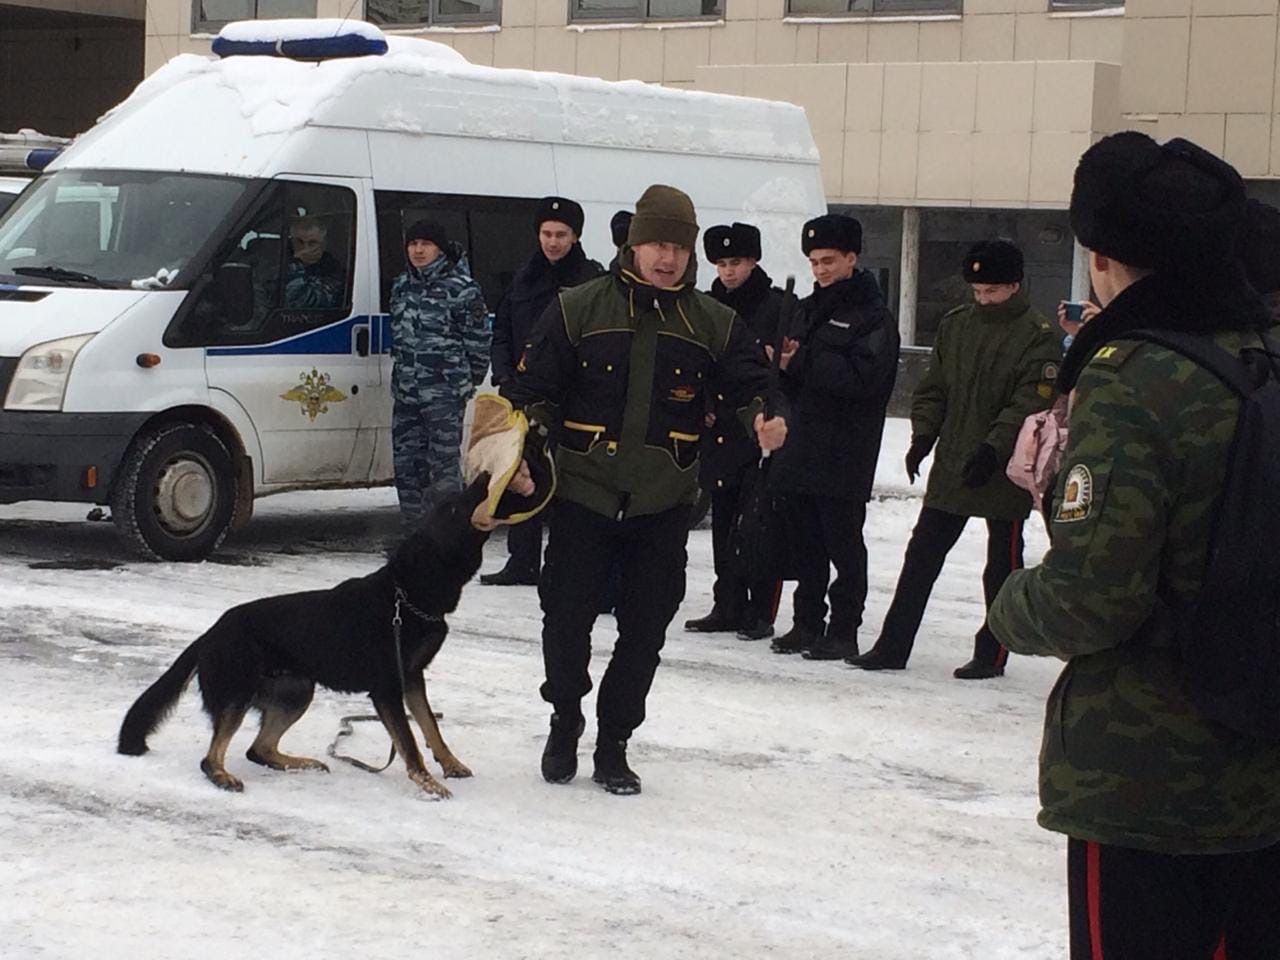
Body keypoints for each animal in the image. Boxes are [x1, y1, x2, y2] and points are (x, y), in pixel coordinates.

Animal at [117, 478, 494, 798]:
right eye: (454, 509)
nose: (484, 478)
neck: (406, 594)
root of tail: (209, 634)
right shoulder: (388, 690)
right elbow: (410, 742)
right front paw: (428, 784)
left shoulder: (412, 680)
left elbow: (431, 727)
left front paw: (450, 765)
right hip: (239, 695)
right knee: (212, 758)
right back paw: (224, 776)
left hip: (296, 690)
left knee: (258, 749)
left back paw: (301, 763)